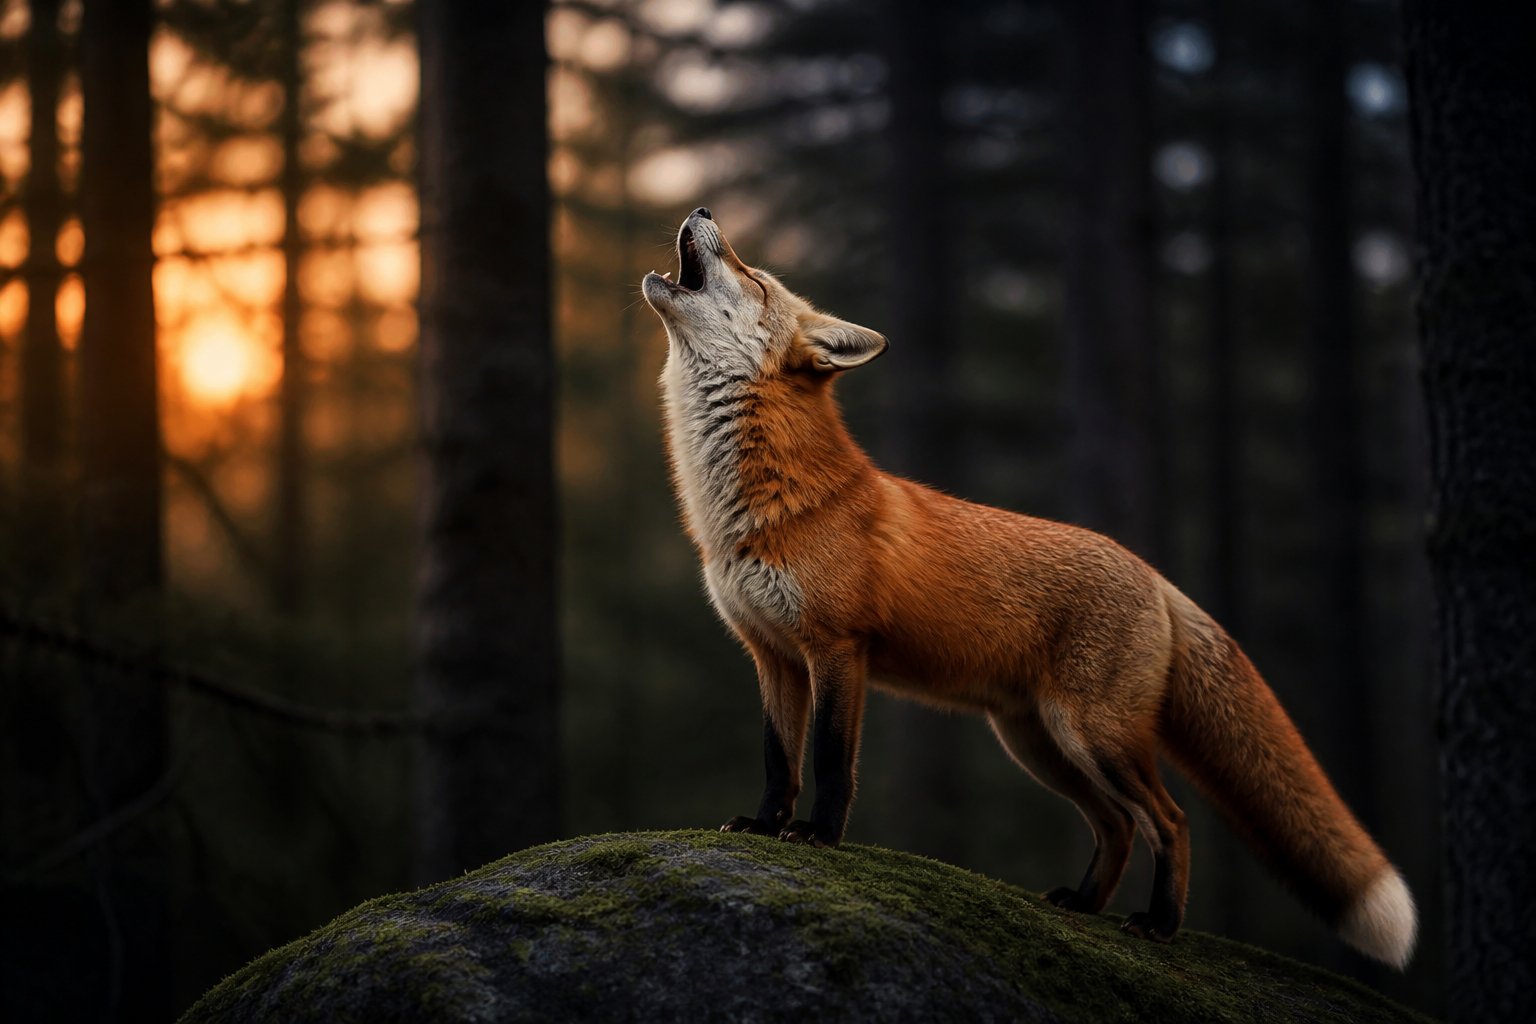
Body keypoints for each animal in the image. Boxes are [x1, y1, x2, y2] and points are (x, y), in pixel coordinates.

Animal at [640, 207, 1416, 968]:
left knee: (1170, 820)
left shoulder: (837, 649)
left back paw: (1160, 925)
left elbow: (831, 762)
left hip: (1095, 736)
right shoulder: (772, 654)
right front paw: (764, 825)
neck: (756, 510)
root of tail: (1154, 574)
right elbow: (780, 760)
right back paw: (1084, 904)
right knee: (1117, 825)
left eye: (756, 280)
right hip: (1039, 744)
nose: (702, 208)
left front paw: (818, 837)